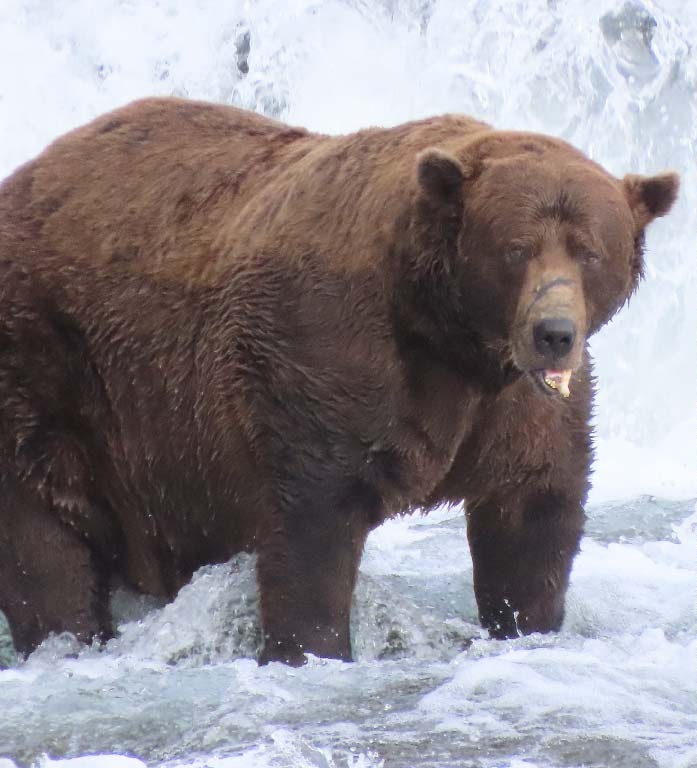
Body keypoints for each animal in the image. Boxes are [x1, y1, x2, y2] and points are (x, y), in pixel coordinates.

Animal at [0, 97, 679, 665]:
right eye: (515, 248)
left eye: (589, 250)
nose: (553, 332)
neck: (450, 338)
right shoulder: (325, 356)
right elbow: (313, 525)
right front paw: (309, 648)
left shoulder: (516, 408)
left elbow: (533, 511)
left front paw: (525, 624)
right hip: (55, 363)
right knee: (42, 533)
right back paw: (67, 639)